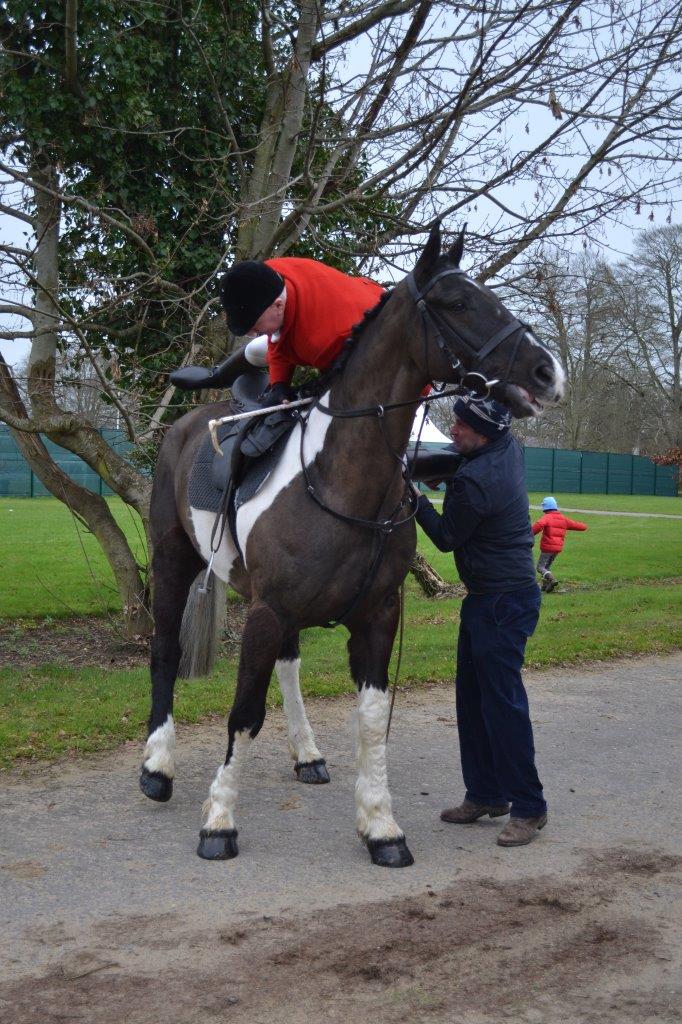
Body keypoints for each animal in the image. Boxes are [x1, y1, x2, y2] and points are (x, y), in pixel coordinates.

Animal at [140, 223, 565, 867]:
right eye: (458, 302)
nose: (547, 372)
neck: (341, 479)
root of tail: (185, 426)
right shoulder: (267, 612)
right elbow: (243, 714)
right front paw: (219, 820)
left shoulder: (375, 616)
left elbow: (369, 719)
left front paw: (381, 826)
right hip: (174, 561)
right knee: (165, 650)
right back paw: (157, 766)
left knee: (288, 666)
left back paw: (306, 753)